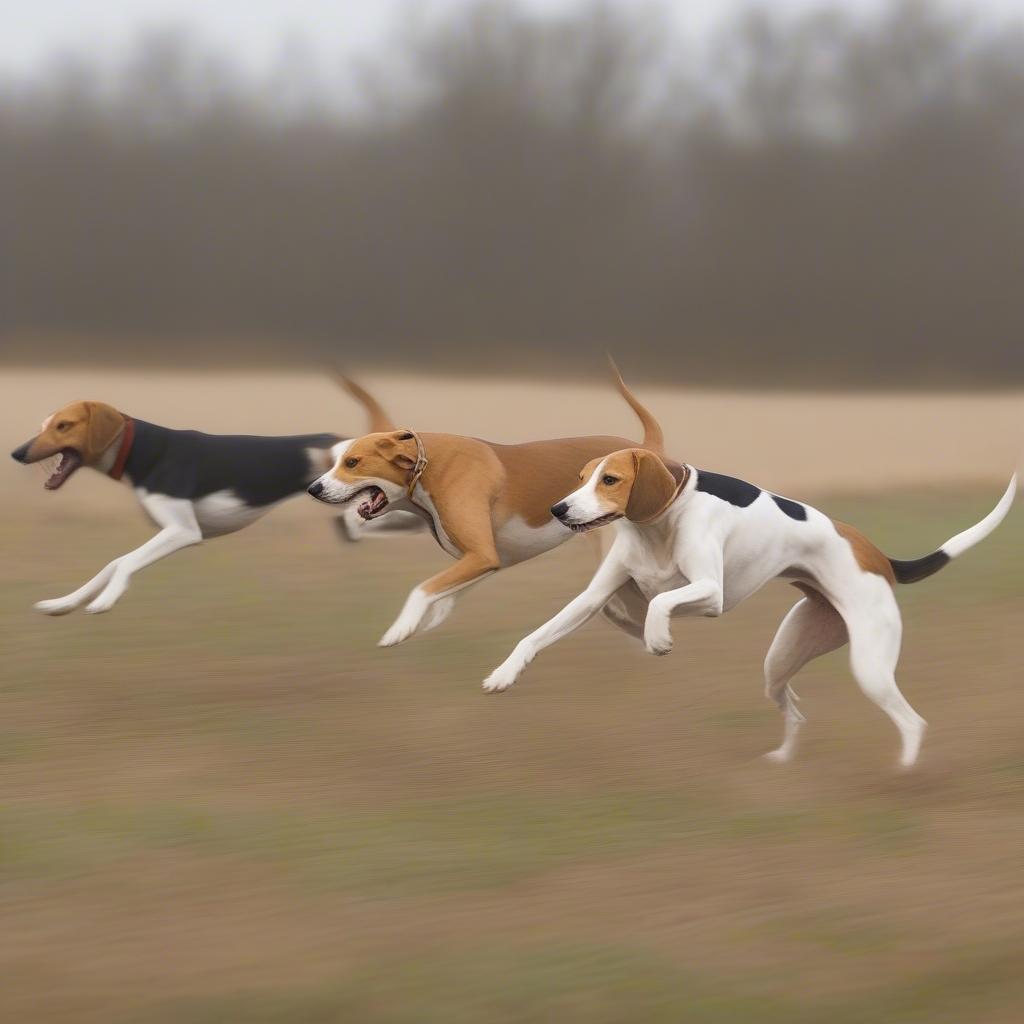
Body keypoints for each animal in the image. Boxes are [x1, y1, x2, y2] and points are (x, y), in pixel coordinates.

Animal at [9, 378, 417, 610]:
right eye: (45, 425)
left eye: (63, 426)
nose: (17, 453)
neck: (145, 450)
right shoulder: (171, 532)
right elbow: (111, 564)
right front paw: (64, 603)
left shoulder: (182, 532)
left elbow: (123, 563)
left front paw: (107, 599)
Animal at [303, 364, 667, 643]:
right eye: (335, 459)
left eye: (352, 463)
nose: (313, 488)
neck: (429, 463)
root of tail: (647, 449)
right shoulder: (483, 559)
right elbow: (441, 596)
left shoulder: (480, 555)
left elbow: (421, 589)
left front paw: (399, 630)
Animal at [481, 448, 1015, 770]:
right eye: (579, 479)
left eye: (610, 479)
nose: (559, 509)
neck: (660, 522)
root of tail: (877, 555)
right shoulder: (595, 598)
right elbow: (538, 634)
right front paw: (503, 675)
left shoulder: (712, 595)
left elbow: (663, 603)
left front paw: (658, 637)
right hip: (782, 658)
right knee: (795, 711)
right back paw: (783, 760)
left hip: (871, 666)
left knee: (911, 721)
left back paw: (904, 771)